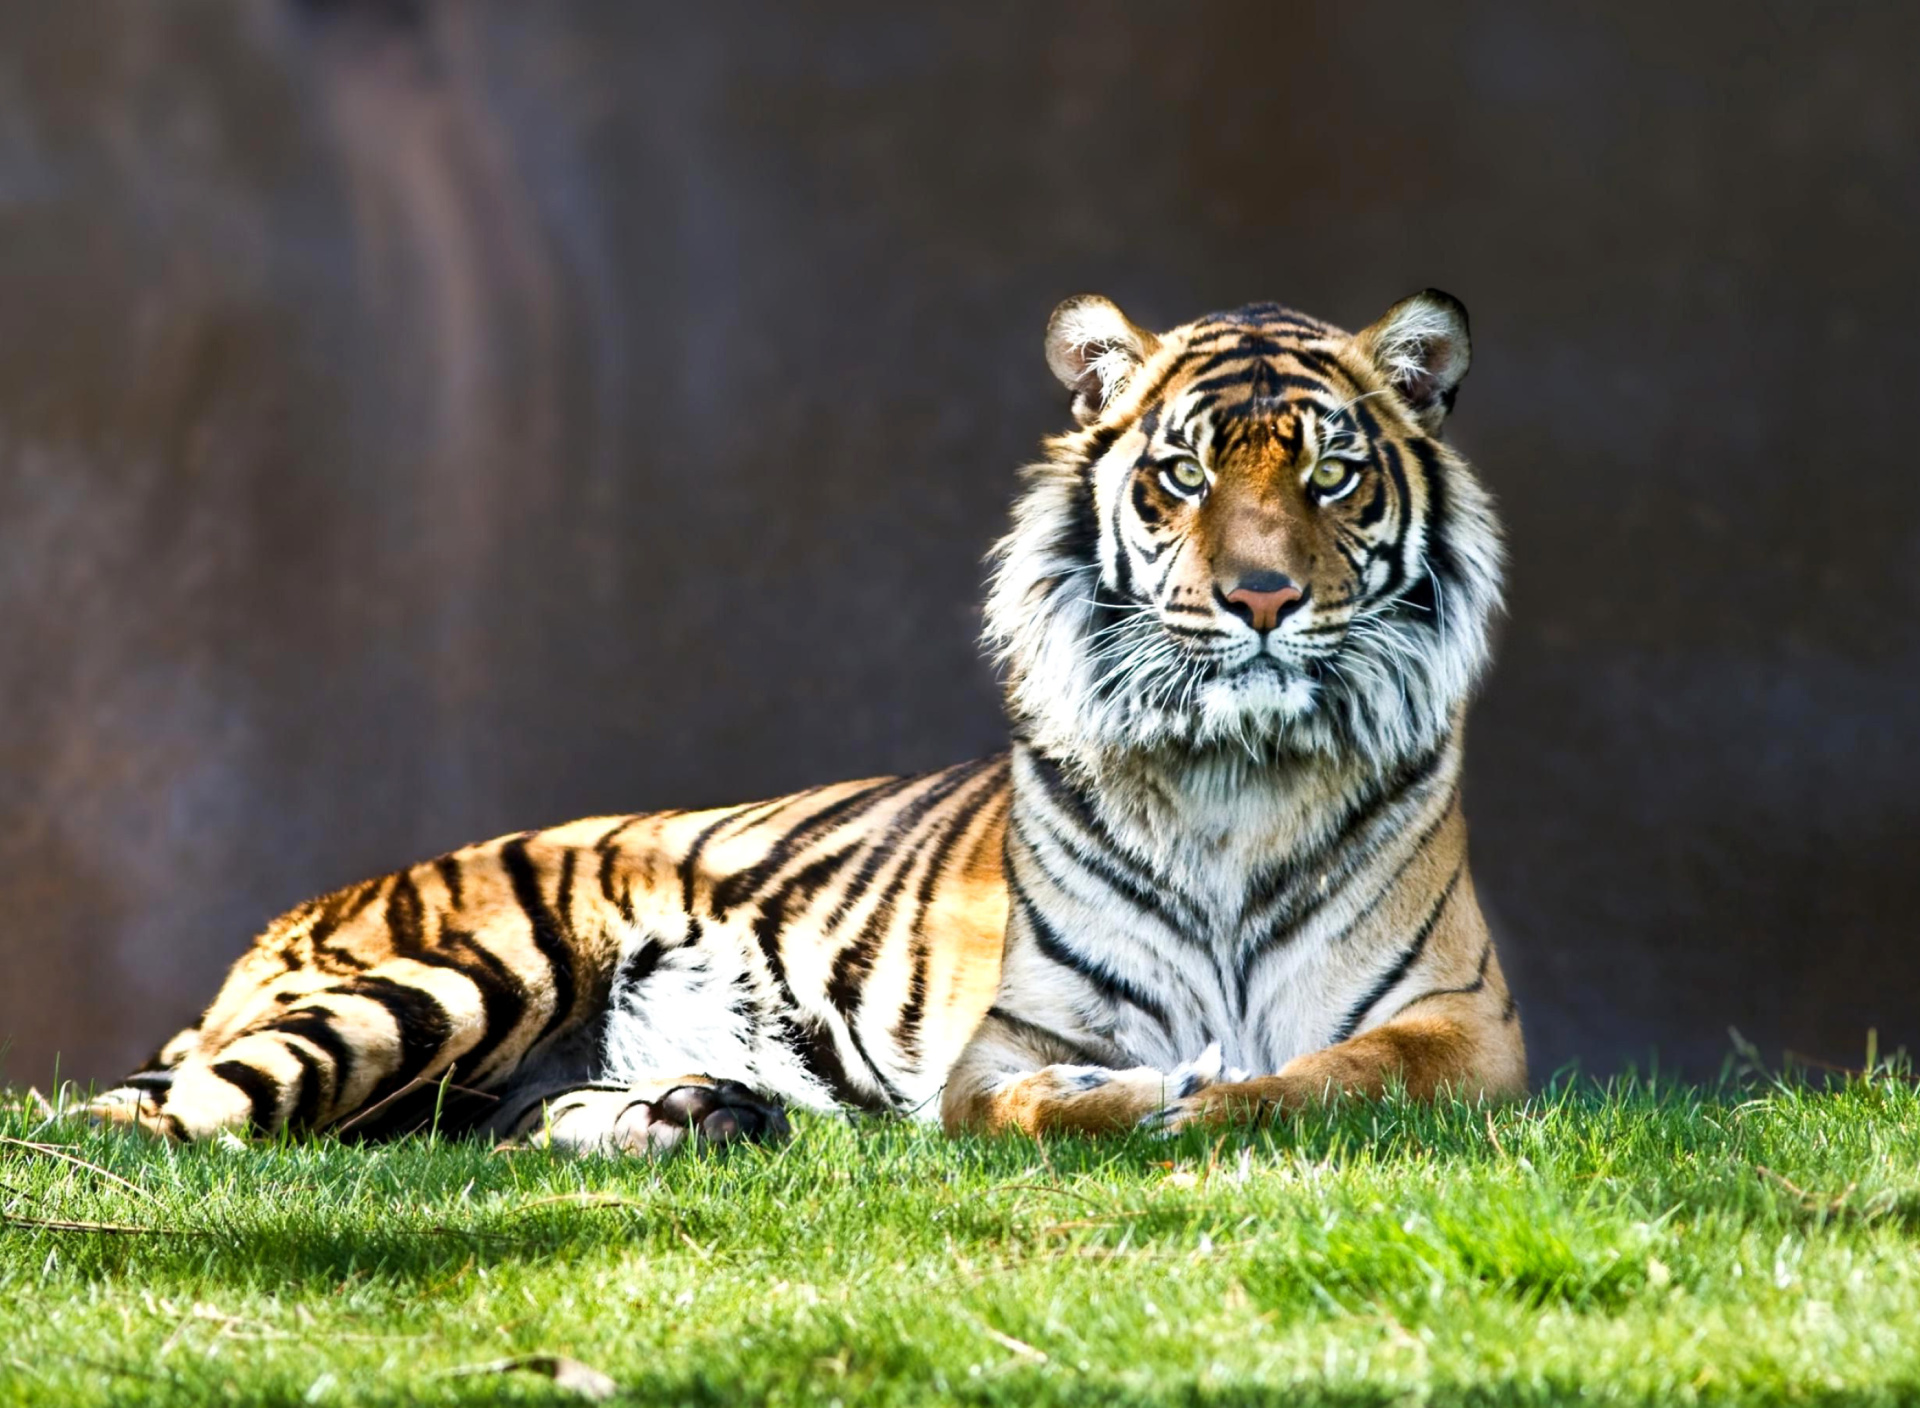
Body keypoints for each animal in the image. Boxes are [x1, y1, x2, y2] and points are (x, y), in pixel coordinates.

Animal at [86, 288, 1528, 1152]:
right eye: (1182, 474)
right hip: (447, 979)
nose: (1262, 597)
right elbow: (1039, 1105)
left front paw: (1207, 1095)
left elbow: (1326, 1079)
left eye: (1332, 475)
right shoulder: (1007, 1044)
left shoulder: (1466, 1031)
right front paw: (1144, 1095)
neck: (1236, 777)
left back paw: (695, 1112)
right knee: (159, 1123)